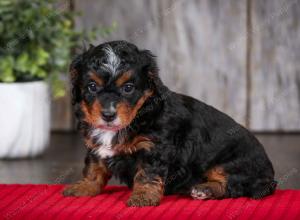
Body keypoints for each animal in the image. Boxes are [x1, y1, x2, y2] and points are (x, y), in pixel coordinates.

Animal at [63, 40, 276, 206]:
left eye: (128, 88)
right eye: (92, 86)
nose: (108, 115)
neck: (137, 115)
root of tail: (269, 176)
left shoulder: (154, 148)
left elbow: (147, 173)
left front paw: (143, 197)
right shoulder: (95, 145)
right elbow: (94, 167)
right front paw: (84, 187)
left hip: (233, 162)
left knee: (234, 186)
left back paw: (204, 190)